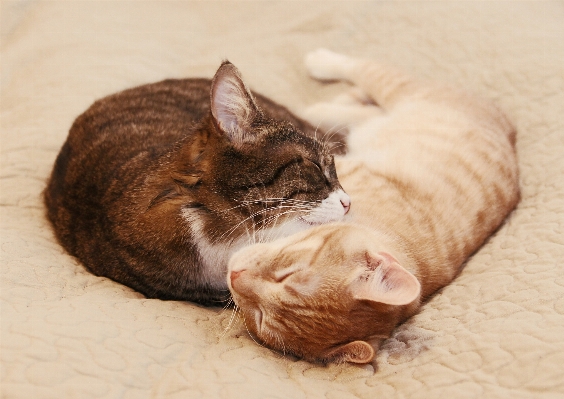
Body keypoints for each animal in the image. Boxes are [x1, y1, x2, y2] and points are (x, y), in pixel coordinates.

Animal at [226, 48, 520, 364]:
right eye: (287, 275)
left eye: (261, 318)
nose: (234, 275)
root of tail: (509, 128)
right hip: (395, 91)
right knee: (359, 79)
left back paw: (326, 81)